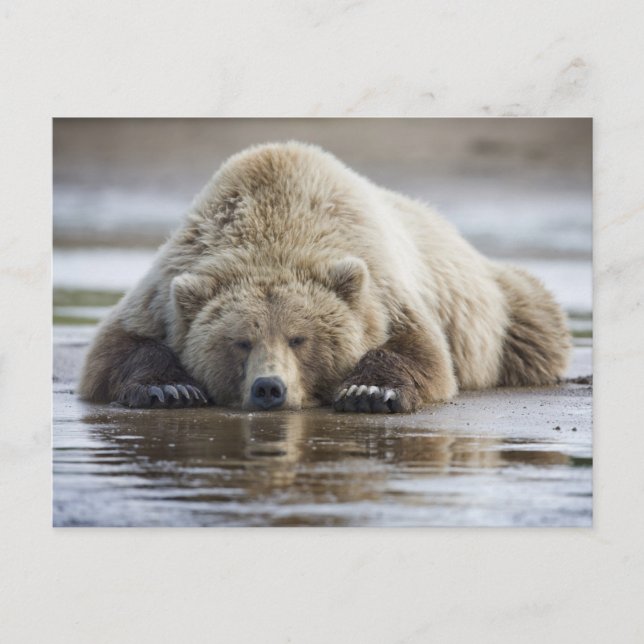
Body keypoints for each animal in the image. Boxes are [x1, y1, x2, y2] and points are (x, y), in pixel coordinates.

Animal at [78, 141, 571, 413]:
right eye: (241, 341)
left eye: (299, 338)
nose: (269, 388)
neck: (275, 223)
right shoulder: (169, 283)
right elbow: (115, 349)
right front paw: (170, 388)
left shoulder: (382, 286)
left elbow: (423, 353)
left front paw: (370, 391)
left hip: (502, 307)